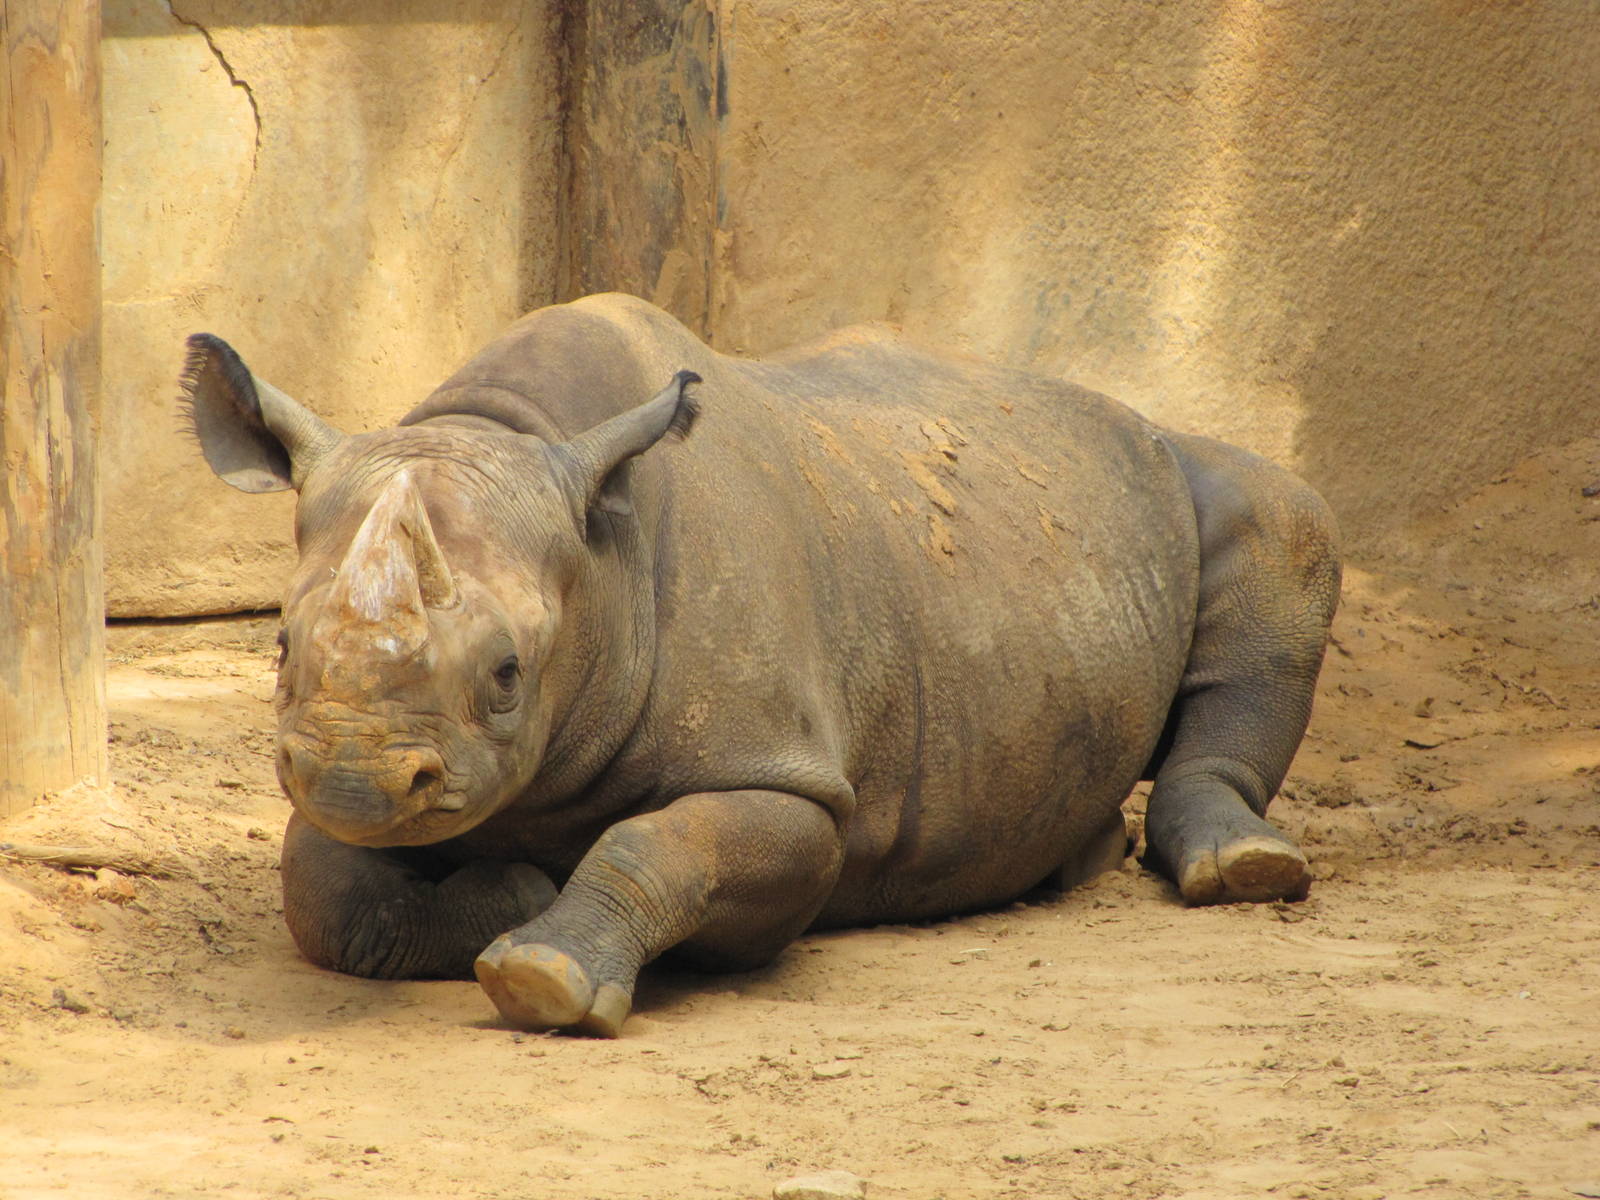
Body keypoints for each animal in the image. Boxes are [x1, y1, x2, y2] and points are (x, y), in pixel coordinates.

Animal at [182, 294, 1340, 1036]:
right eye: (280, 646)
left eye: (508, 673)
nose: (354, 778)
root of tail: (1109, 404)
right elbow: (323, 887)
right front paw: (507, 885)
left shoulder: (795, 782)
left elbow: (662, 845)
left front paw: (543, 970)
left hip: (1170, 463)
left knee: (1286, 519)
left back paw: (1245, 868)